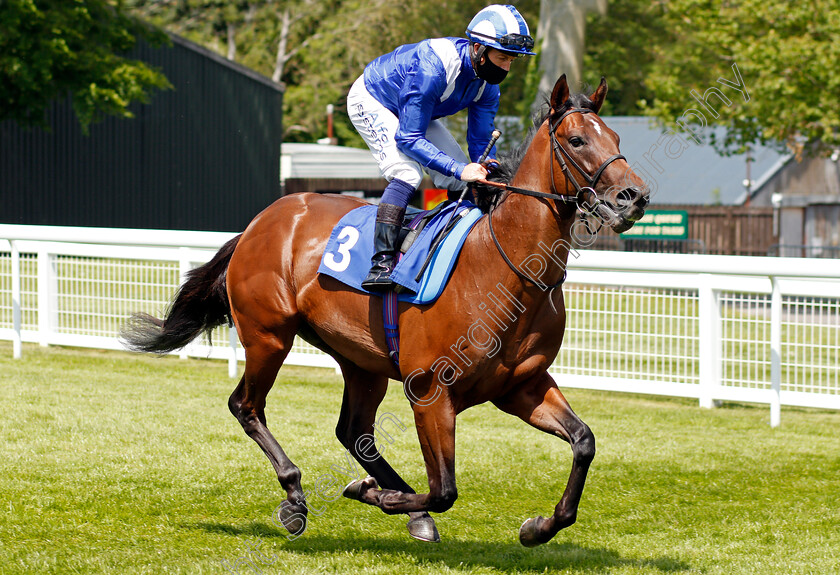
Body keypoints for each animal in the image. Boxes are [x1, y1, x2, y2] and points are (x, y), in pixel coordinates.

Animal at [123, 74, 648, 548]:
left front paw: (539, 527)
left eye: (618, 138)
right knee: (247, 406)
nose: (635, 196)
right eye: (578, 140)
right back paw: (296, 496)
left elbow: (584, 441)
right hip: (268, 335)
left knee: (354, 431)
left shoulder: (522, 386)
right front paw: (374, 495)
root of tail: (260, 222)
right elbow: (444, 490)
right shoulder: (430, 391)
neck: (505, 269)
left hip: (362, 360)